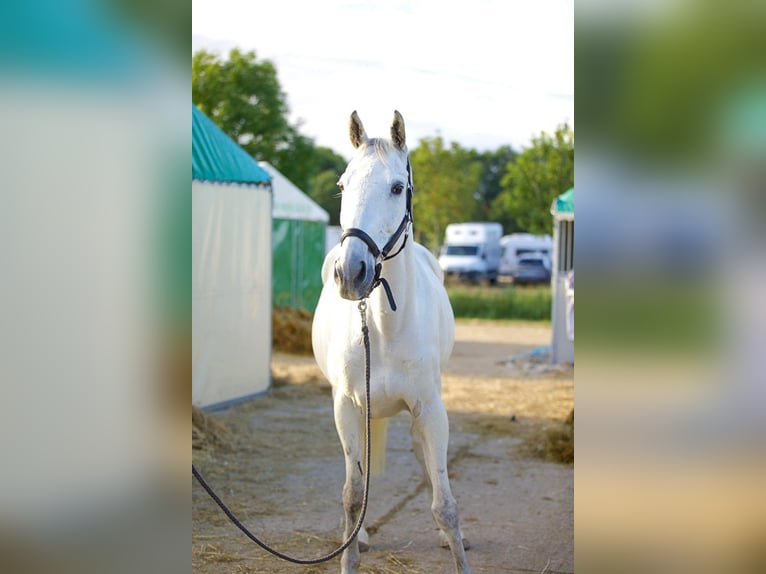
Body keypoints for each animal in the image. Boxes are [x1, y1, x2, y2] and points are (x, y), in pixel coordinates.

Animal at [312, 111, 471, 574]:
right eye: (342, 184)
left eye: (398, 187)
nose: (351, 272)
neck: (382, 329)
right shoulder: (347, 408)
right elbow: (352, 496)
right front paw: (349, 553)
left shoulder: (430, 411)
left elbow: (445, 504)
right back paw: (360, 536)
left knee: (422, 460)